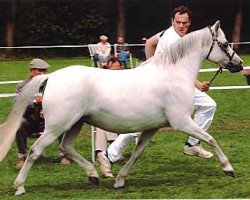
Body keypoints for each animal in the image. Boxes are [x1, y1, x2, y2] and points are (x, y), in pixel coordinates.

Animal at [0, 21, 242, 195]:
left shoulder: (152, 127)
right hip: (56, 126)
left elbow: (137, 153)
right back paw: (19, 187)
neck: (173, 74)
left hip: (75, 124)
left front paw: (119, 180)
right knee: (35, 151)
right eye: (224, 43)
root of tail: (51, 77)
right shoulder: (181, 121)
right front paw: (228, 169)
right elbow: (211, 139)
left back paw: (94, 175)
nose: (238, 64)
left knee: (66, 147)